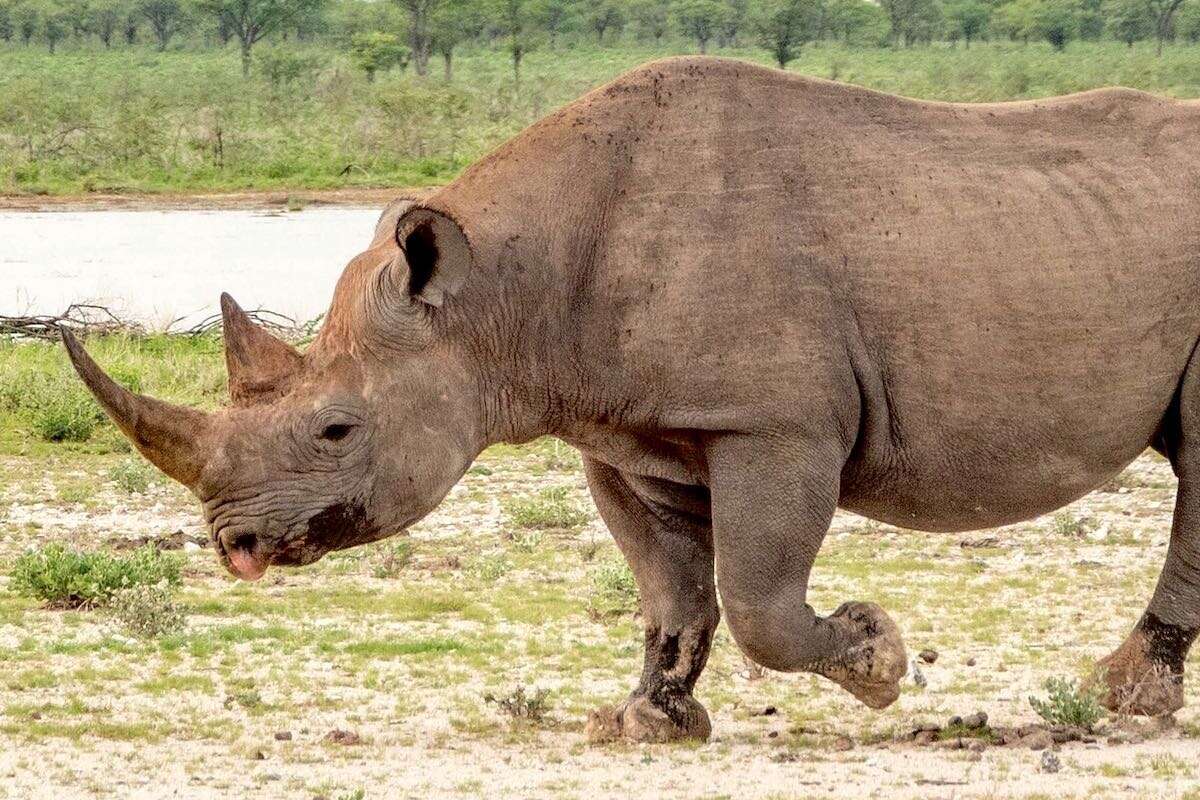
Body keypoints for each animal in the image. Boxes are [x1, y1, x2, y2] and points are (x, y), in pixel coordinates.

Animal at [65, 57, 1200, 742]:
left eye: (337, 428)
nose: (235, 544)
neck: (496, 296)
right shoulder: (623, 433)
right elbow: (672, 593)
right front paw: (648, 720)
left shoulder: (774, 422)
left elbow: (757, 601)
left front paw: (878, 658)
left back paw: (1124, 703)